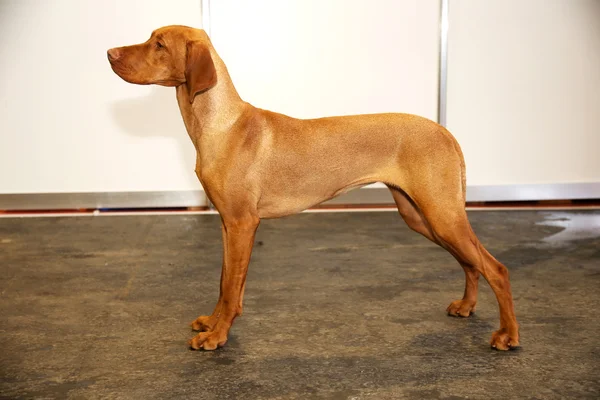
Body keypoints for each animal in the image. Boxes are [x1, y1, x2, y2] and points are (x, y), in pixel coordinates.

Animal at [108, 25, 520, 350]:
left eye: (159, 44)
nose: (110, 53)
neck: (220, 124)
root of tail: (445, 132)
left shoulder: (243, 223)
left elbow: (231, 283)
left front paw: (217, 337)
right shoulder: (228, 223)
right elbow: (226, 282)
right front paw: (214, 322)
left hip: (441, 213)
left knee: (496, 268)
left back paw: (507, 335)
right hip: (422, 216)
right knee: (471, 262)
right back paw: (466, 307)